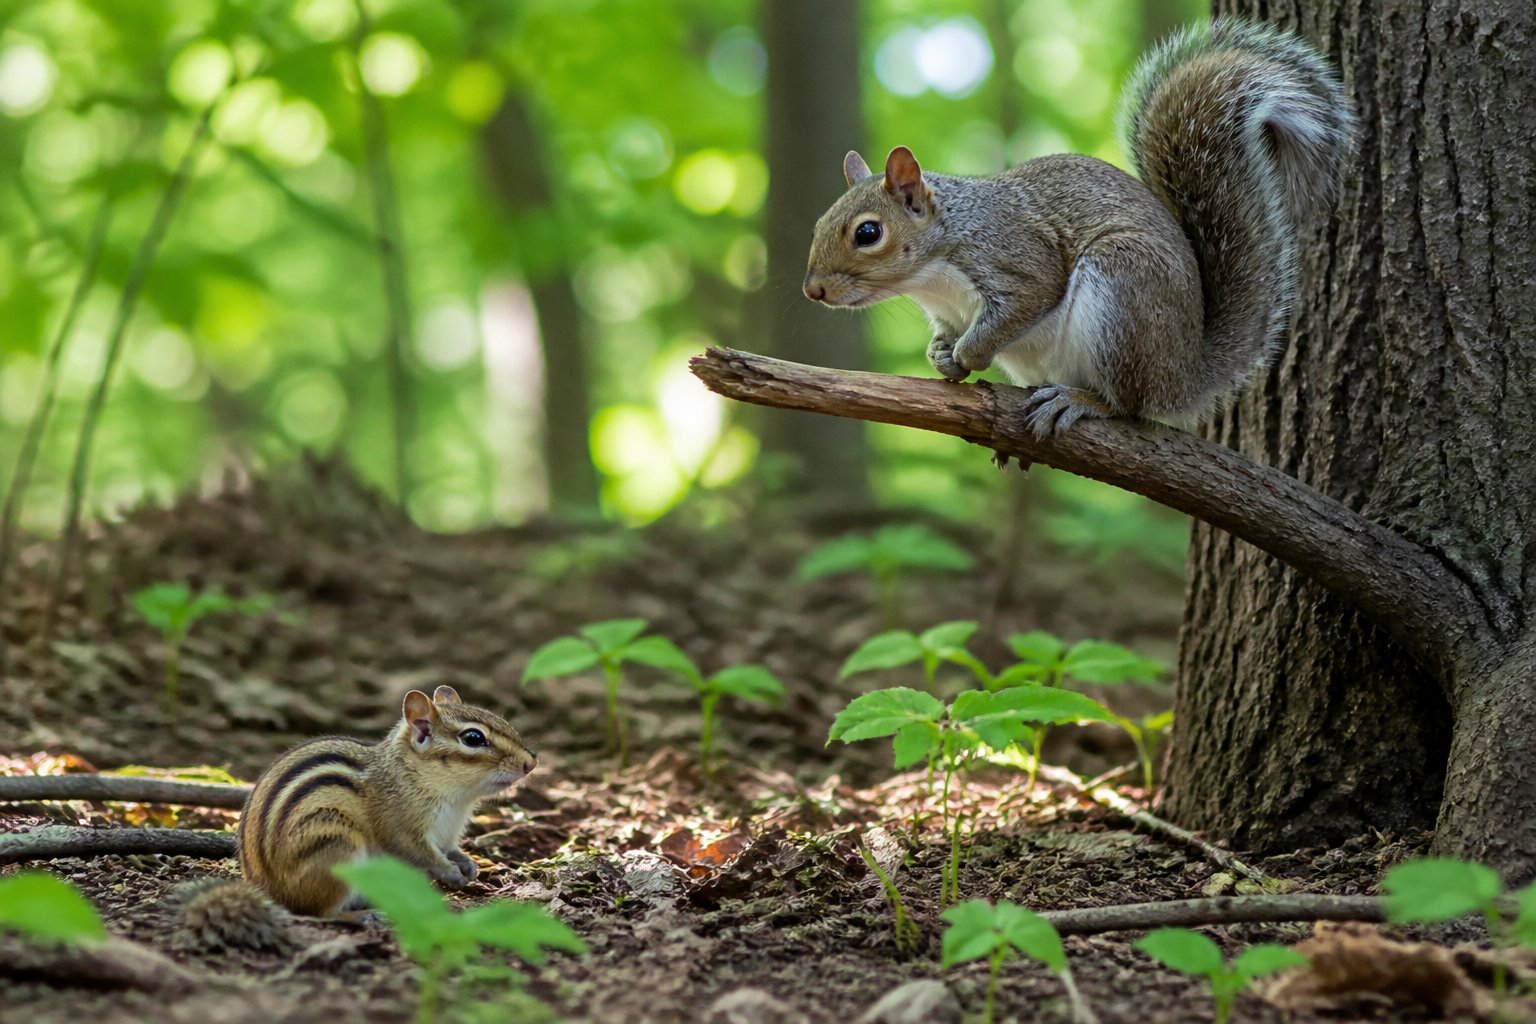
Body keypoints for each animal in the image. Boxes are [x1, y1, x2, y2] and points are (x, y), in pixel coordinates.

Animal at [171, 685, 537, 951]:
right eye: (473, 738)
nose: (531, 763)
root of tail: (266, 890)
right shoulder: (401, 825)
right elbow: (416, 852)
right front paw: (450, 872)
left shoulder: (445, 835)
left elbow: (450, 850)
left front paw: (468, 865)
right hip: (336, 845)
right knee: (318, 913)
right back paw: (367, 914)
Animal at [802, 18, 1355, 436]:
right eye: (817, 224)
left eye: (868, 234)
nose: (813, 291)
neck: (935, 274)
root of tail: (1182, 375)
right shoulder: (946, 308)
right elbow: (946, 333)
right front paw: (941, 354)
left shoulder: (1015, 256)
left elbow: (1025, 300)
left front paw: (967, 352)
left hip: (1124, 291)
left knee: (1131, 406)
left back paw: (1085, 401)